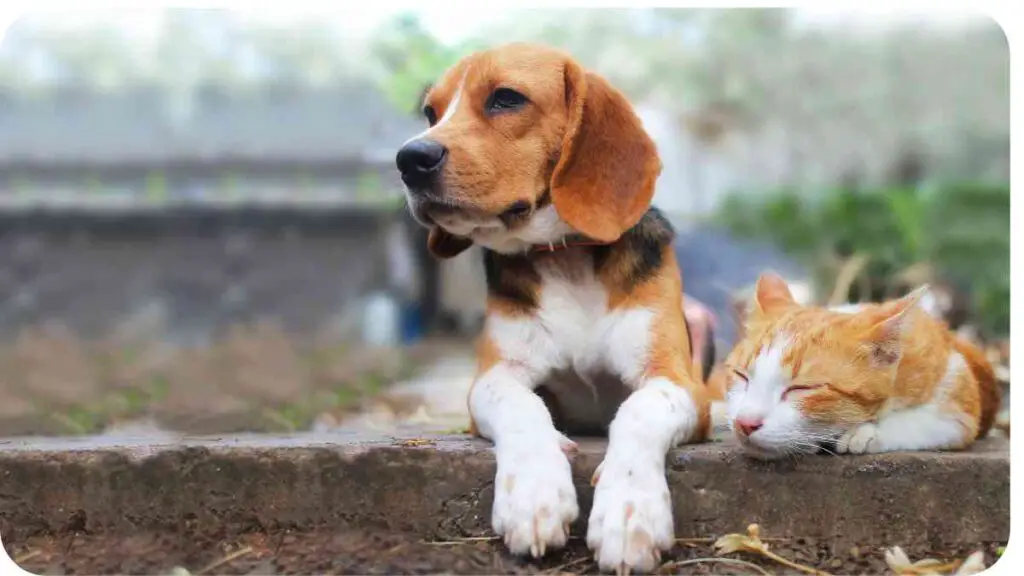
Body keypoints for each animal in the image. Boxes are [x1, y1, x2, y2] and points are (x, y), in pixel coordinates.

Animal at [393, 43, 712, 569]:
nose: (408, 158)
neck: (564, 257)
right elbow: (522, 407)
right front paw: (534, 496)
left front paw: (630, 512)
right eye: (430, 113)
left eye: (505, 98)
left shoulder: (678, 381)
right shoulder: (494, 378)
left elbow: (640, 410)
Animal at [720, 272, 999, 457]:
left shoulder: (959, 396)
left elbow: (925, 421)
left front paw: (863, 433)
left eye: (802, 388)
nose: (745, 423)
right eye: (741, 375)